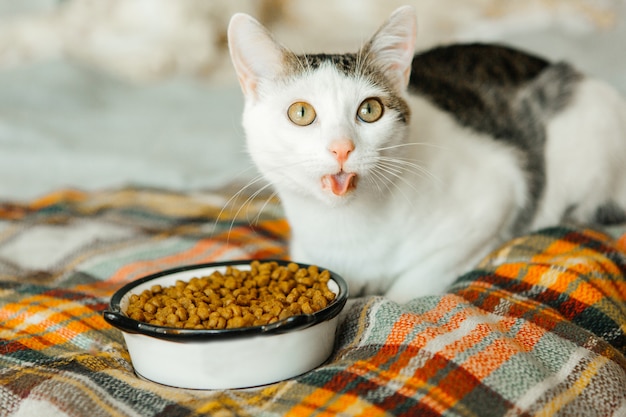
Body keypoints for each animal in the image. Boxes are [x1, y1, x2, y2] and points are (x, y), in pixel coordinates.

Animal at [227, 5, 624, 302]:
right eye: (301, 113)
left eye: (369, 110)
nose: (342, 147)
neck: (348, 226)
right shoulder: (305, 250)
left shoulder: (497, 197)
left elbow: (417, 281)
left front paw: (394, 299)